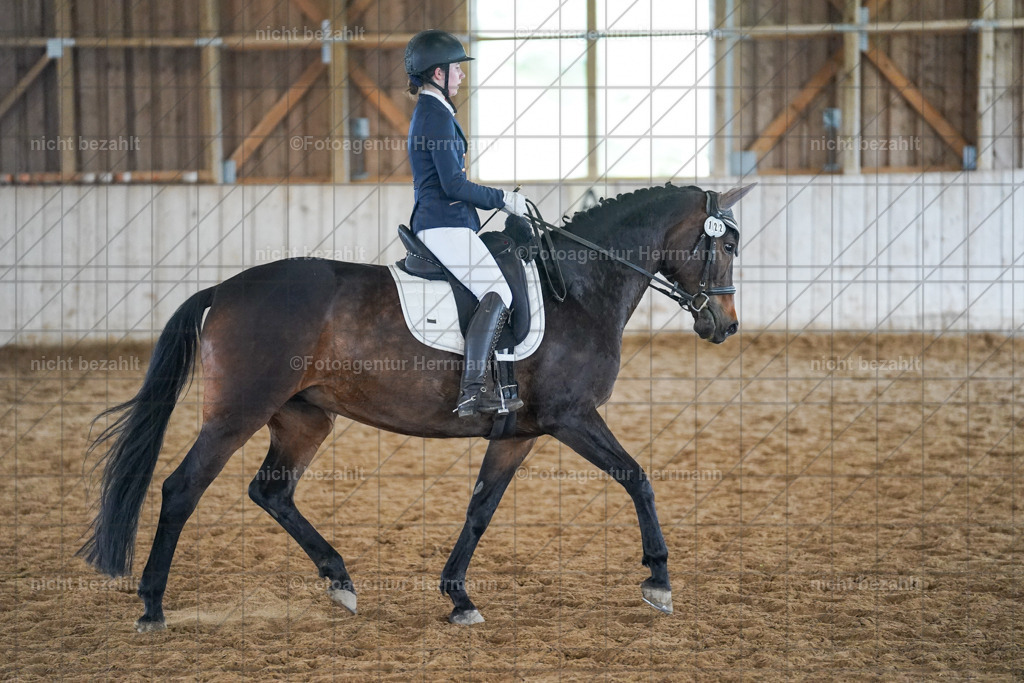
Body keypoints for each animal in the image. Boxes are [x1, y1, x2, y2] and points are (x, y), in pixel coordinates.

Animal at [78, 181, 754, 631]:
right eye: (722, 248)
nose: (725, 325)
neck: (579, 289)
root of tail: (222, 289)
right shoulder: (572, 418)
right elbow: (637, 478)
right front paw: (658, 580)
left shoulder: (519, 433)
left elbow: (481, 508)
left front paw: (459, 596)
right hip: (235, 414)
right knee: (181, 489)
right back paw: (153, 605)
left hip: (304, 418)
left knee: (271, 491)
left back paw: (340, 581)